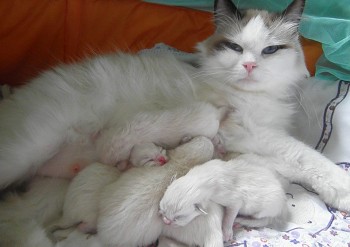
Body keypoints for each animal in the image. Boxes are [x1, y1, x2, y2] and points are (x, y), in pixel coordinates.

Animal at [160, 154, 288, 241]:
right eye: (163, 209)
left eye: (178, 217)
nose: (166, 221)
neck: (204, 177)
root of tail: (282, 208)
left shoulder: (232, 199)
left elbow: (229, 216)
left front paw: (227, 232)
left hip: (266, 209)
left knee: (262, 220)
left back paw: (240, 220)